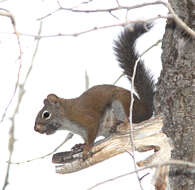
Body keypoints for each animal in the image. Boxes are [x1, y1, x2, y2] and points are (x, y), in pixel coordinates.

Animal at [34, 22, 155, 158]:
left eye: (46, 114)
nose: (35, 129)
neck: (67, 115)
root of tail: (146, 109)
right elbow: (86, 138)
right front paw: (81, 145)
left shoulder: (86, 118)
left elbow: (92, 135)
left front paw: (87, 148)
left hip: (121, 104)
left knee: (132, 120)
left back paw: (122, 124)